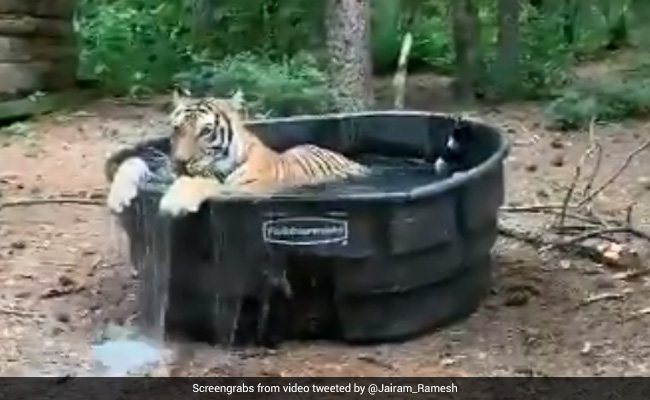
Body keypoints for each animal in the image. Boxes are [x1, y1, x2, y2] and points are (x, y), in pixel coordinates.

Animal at [157, 89, 370, 217]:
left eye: (206, 131)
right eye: (177, 128)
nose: (179, 162)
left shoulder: (248, 188)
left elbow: (207, 183)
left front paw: (174, 201)